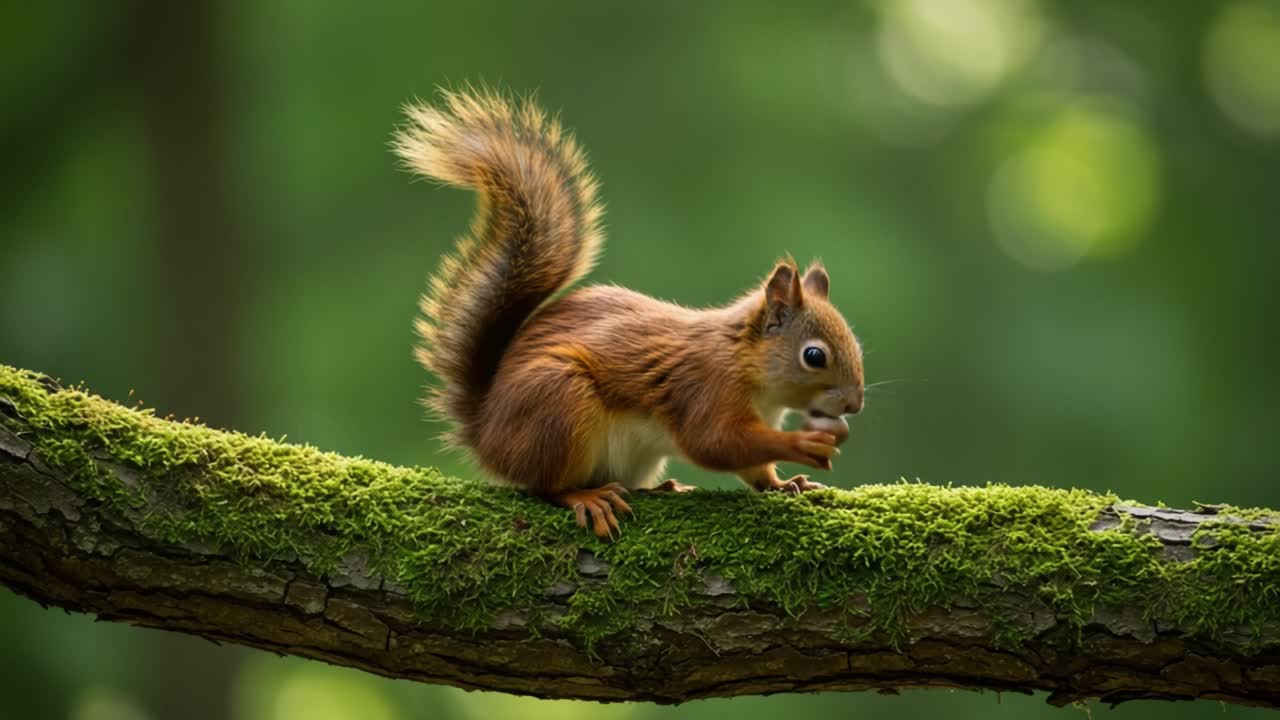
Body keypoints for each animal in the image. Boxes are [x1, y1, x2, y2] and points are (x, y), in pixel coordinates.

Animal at [394, 90, 864, 538]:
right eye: (814, 356)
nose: (855, 405)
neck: (748, 366)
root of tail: (486, 433)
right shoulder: (704, 387)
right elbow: (715, 442)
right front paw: (799, 444)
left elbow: (754, 470)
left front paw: (785, 484)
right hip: (559, 406)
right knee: (545, 485)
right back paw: (587, 497)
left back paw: (661, 487)